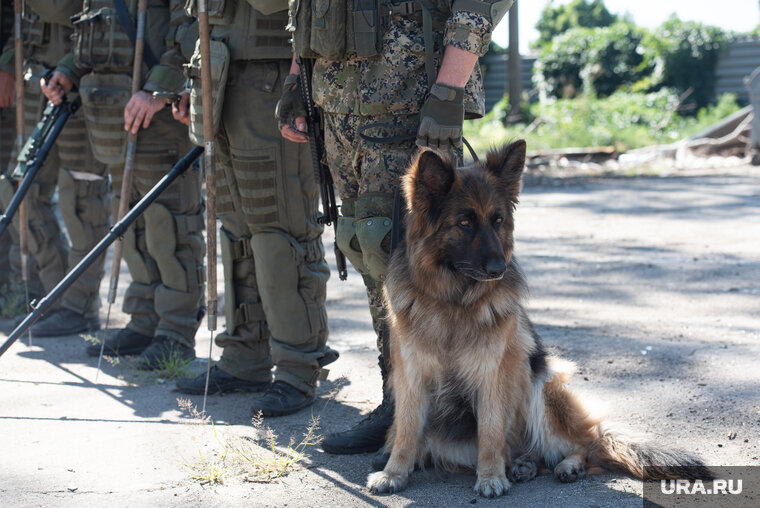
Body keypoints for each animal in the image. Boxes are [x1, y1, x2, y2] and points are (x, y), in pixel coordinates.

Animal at [368, 141, 712, 498]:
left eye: (498, 220)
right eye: (464, 223)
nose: (500, 269)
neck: (453, 301)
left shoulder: (493, 373)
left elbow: (491, 431)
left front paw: (490, 477)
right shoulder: (411, 374)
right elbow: (407, 429)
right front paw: (394, 472)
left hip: (540, 382)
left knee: (588, 443)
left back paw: (567, 465)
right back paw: (525, 465)